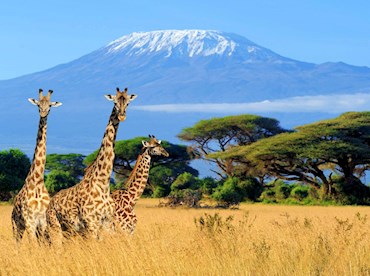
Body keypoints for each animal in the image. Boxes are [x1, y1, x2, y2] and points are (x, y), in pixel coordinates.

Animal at [11, 89, 62, 242]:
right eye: (38, 105)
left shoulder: (43, 221)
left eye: (50, 106)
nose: (43, 113)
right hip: (16, 226)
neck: (38, 181)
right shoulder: (30, 221)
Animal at [45, 87, 137, 242]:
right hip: (55, 227)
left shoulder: (107, 223)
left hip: (70, 230)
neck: (103, 183)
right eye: (115, 102)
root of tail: (50, 204)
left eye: (128, 103)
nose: (122, 116)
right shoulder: (91, 223)